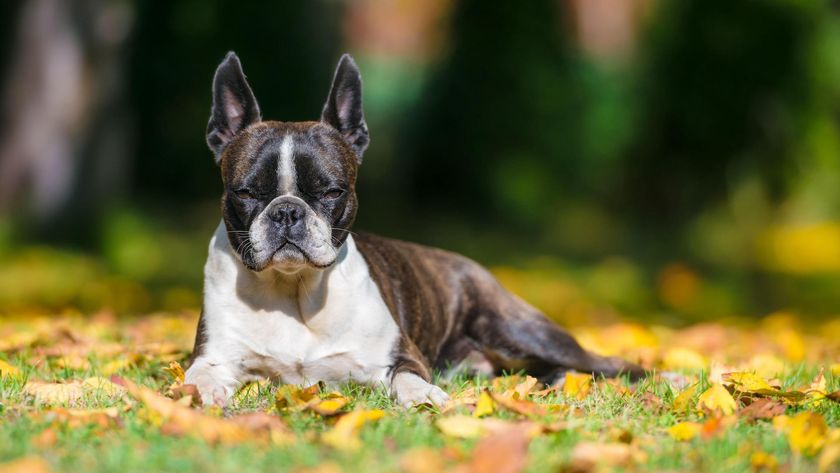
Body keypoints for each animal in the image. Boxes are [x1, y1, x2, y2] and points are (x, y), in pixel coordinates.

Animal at [184, 51, 644, 406]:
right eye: (246, 193)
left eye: (331, 191)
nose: (286, 212)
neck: (294, 289)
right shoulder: (214, 356)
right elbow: (199, 374)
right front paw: (200, 394)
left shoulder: (400, 357)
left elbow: (408, 377)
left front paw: (423, 396)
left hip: (518, 330)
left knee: (603, 363)